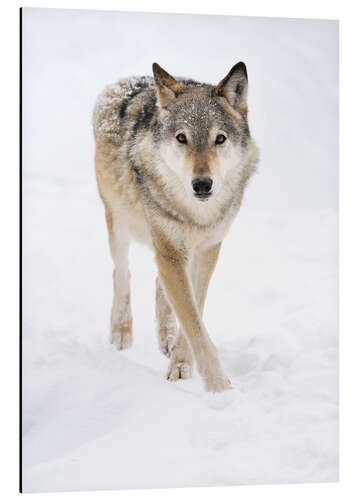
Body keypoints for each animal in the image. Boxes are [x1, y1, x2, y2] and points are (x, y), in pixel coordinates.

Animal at [92, 61, 256, 390]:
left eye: (220, 139)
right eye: (182, 138)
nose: (202, 184)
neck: (196, 215)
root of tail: (129, 79)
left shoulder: (208, 249)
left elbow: (195, 311)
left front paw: (180, 362)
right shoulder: (169, 251)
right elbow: (193, 323)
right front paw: (219, 388)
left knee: (159, 283)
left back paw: (165, 340)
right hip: (119, 222)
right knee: (121, 271)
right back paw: (121, 332)